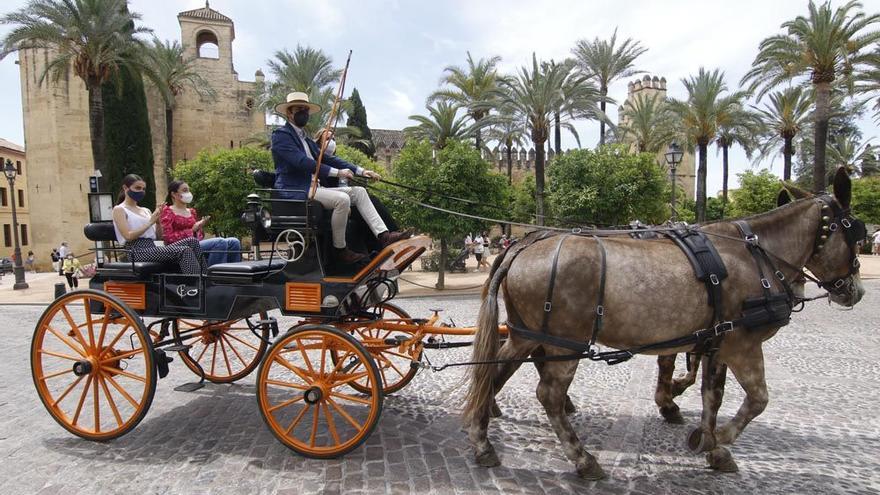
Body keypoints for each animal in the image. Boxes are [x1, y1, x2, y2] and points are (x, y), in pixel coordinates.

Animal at [460, 169, 868, 478]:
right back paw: (582, 458)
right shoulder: (743, 344)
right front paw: (716, 438)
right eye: (856, 232)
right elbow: (757, 400)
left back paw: (482, 440)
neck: (755, 256)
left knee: (492, 373)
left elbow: (712, 395)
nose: (856, 291)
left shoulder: (716, 342)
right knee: (548, 395)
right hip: (563, 342)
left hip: (527, 333)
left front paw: (708, 442)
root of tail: (522, 247)